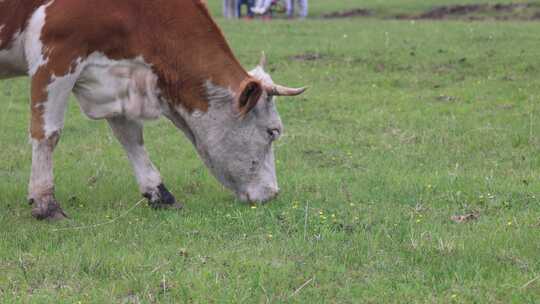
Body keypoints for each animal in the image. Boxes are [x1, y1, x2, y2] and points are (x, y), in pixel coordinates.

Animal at [0, 0, 304, 220]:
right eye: (273, 132)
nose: (273, 193)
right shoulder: (55, 54)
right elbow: (47, 133)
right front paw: (45, 201)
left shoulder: (117, 77)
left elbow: (131, 138)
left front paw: (159, 192)